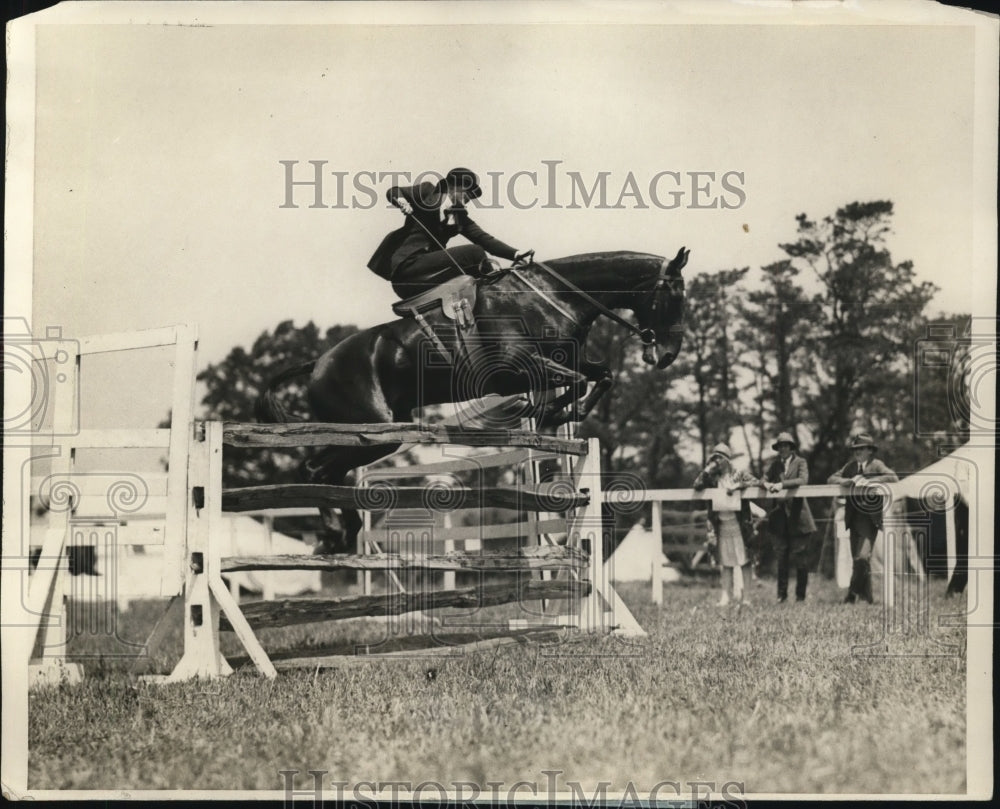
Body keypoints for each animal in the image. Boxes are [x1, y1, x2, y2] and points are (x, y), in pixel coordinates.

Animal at [254, 248, 688, 548]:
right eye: (675, 296)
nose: (666, 356)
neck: (554, 296)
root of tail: (317, 364)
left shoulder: (564, 360)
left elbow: (601, 376)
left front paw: (559, 413)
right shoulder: (515, 369)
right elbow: (578, 381)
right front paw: (547, 412)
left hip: (375, 435)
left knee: (327, 474)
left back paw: (344, 532)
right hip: (373, 430)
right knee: (313, 469)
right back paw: (333, 533)